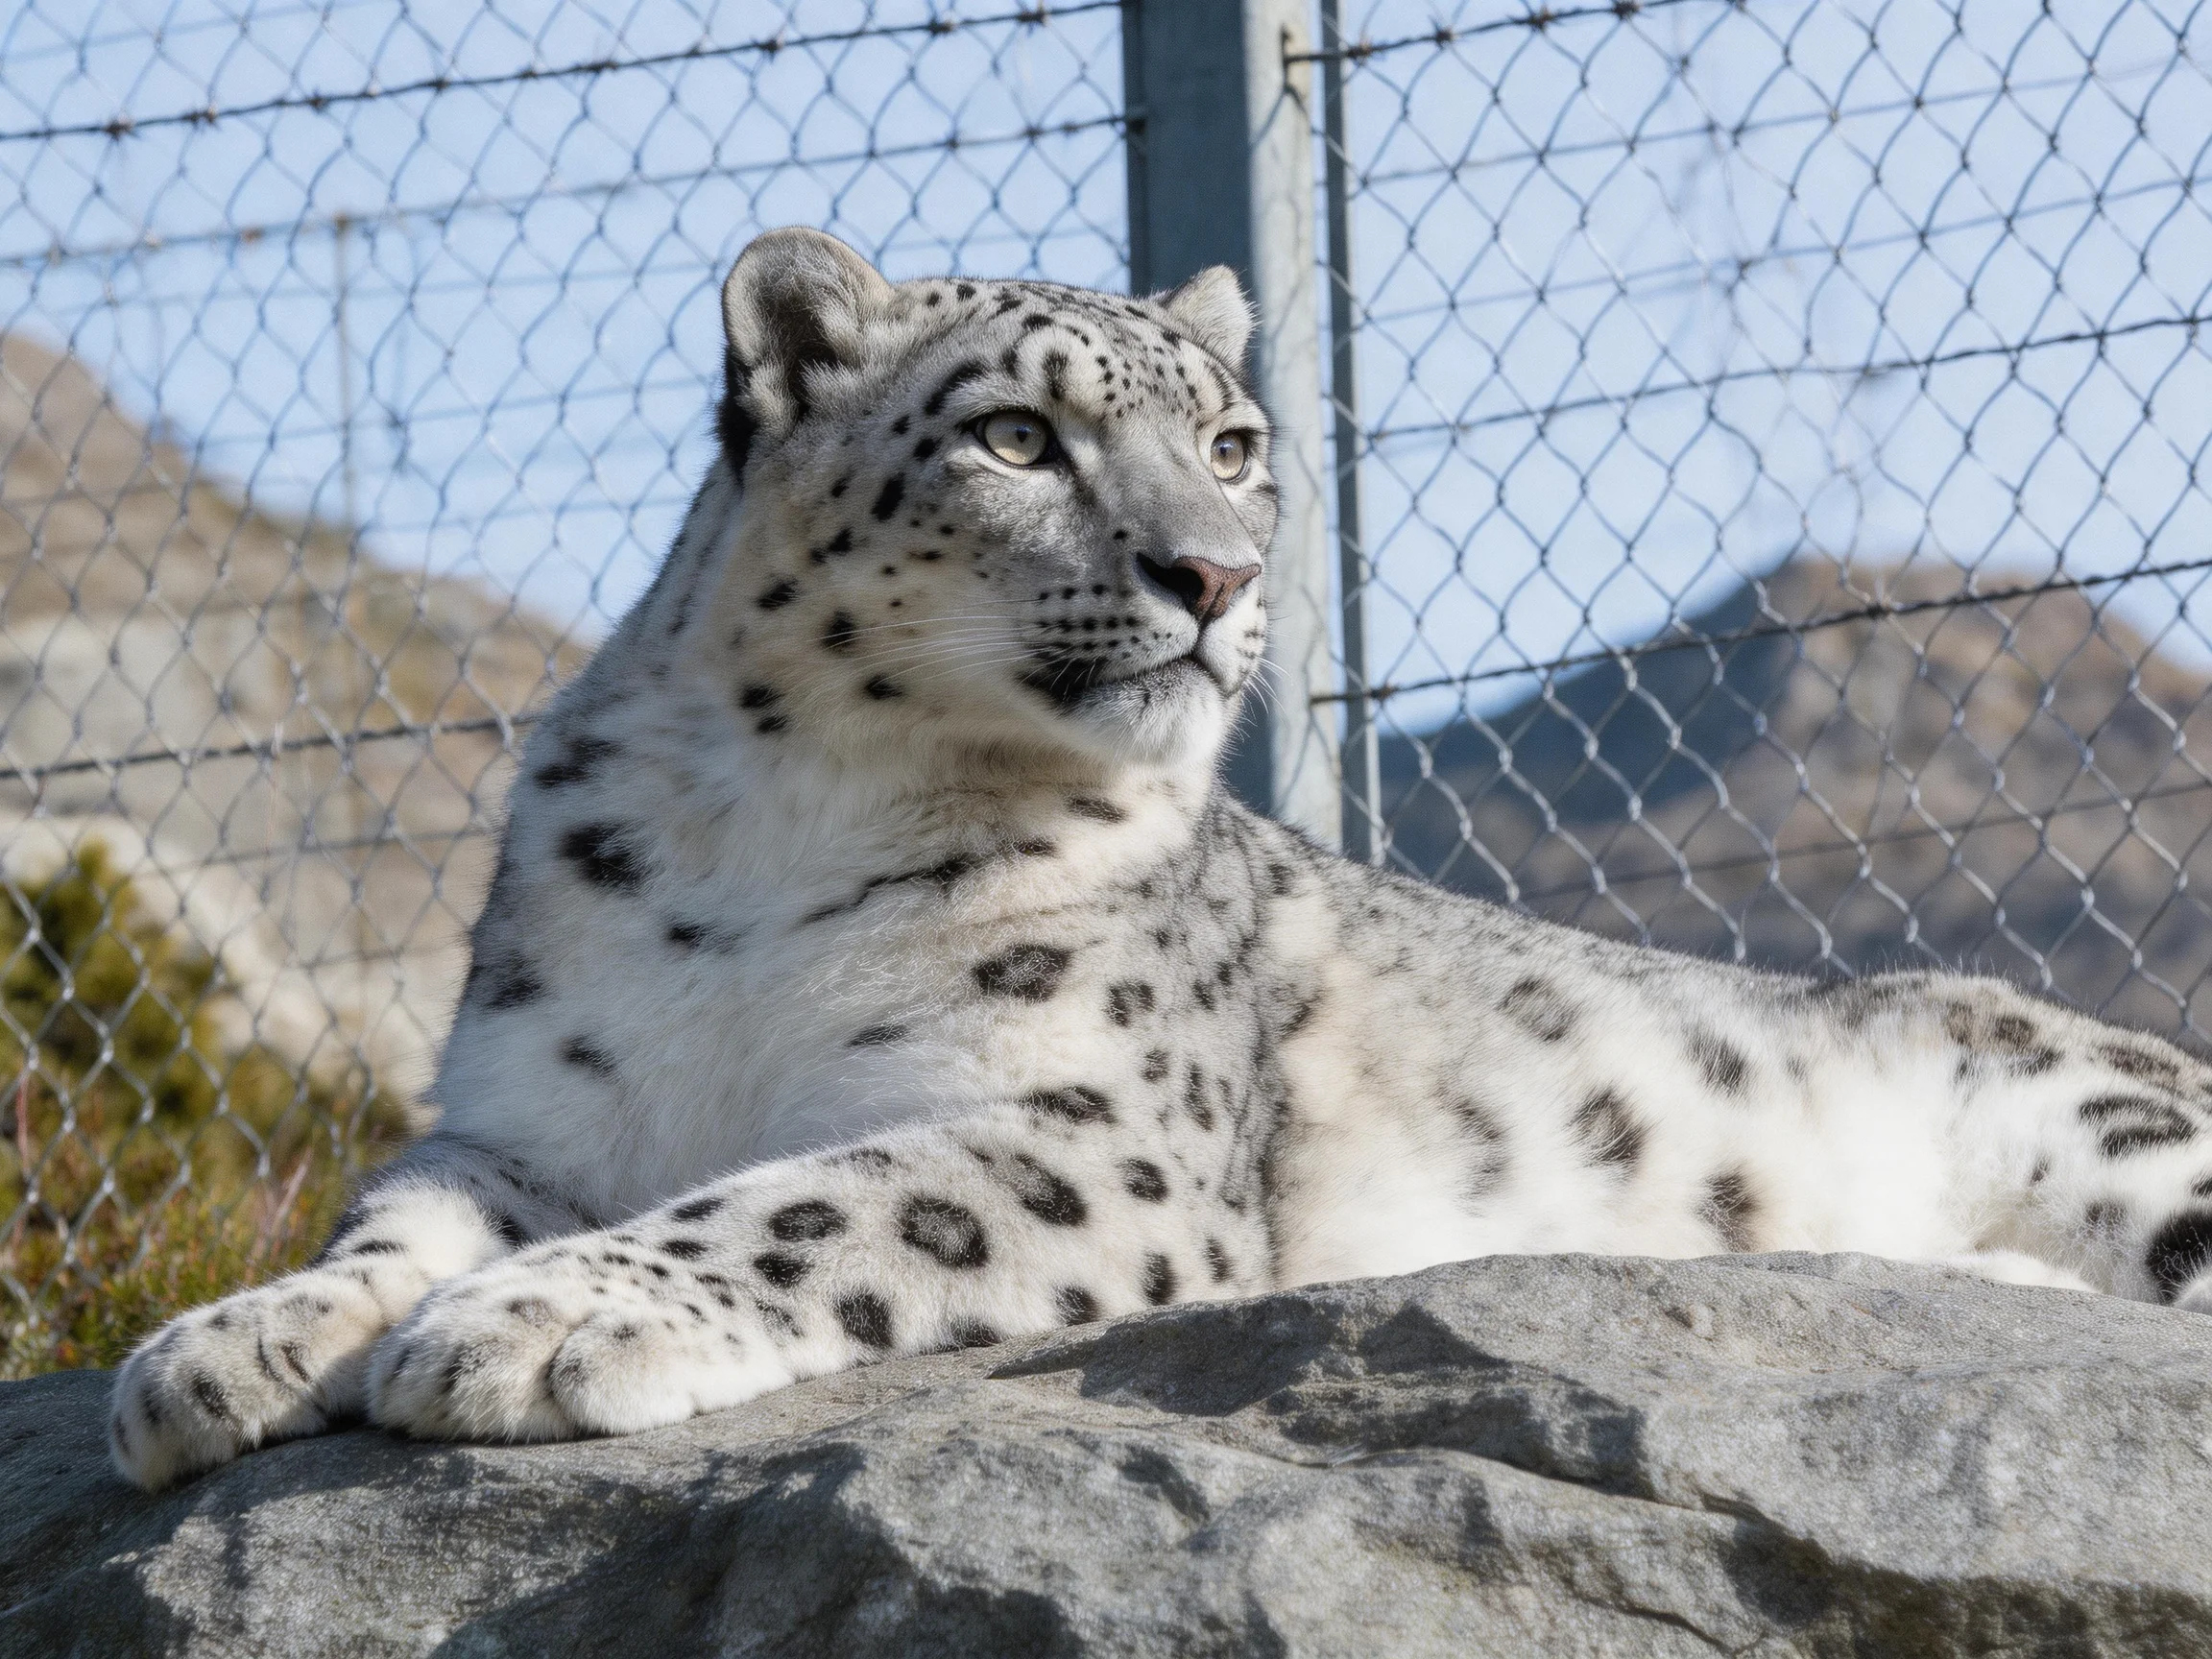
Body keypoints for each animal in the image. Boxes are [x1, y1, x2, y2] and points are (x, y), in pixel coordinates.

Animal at [109, 227, 2212, 1491]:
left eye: (1232, 441)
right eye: (1016, 437)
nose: (1213, 572)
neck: (778, 822)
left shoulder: (1087, 1122)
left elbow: (801, 1205)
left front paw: (533, 1325)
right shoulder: (530, 1113)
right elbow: (394, 1216)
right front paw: (217, 1352)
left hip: (2127, 1134)